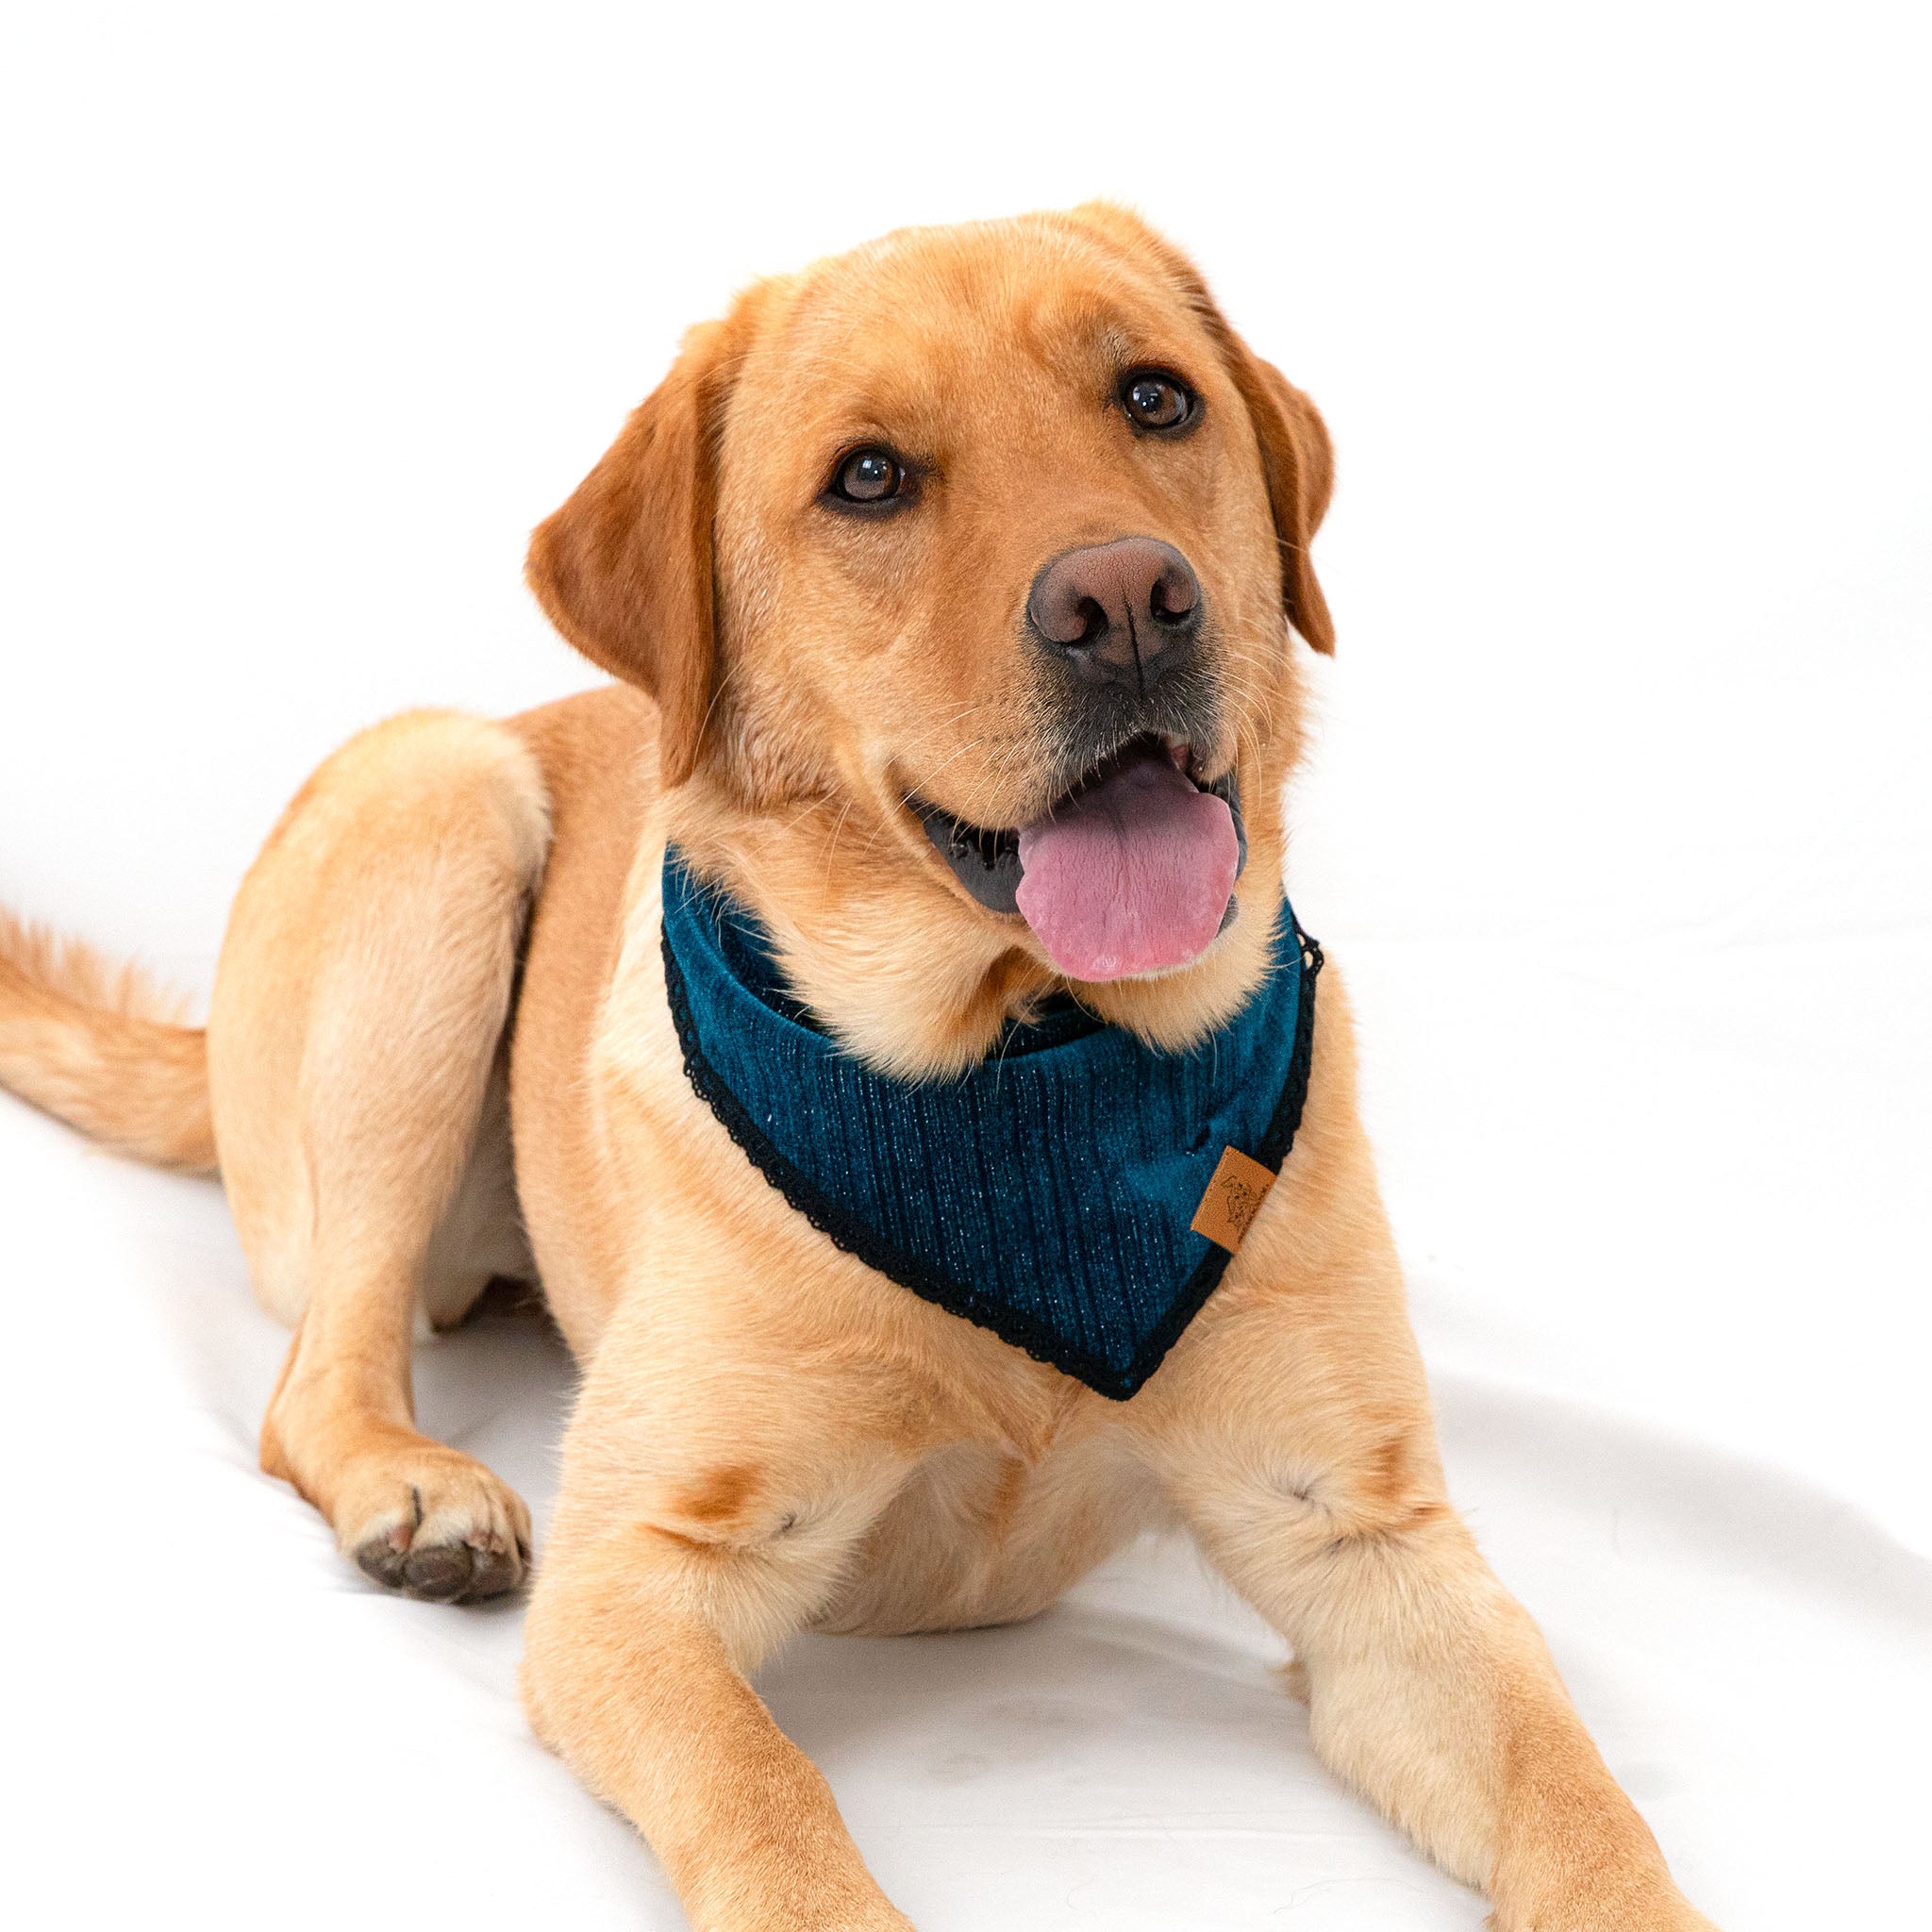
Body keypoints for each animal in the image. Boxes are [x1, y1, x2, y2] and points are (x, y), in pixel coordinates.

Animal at [0, 208, 1723, 1932]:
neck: (1027, 1065)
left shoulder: (1364, 1536)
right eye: (871, 478)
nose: (1128, 601)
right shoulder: (642, 1573)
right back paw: (410, 1487)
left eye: (1155, 398)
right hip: (441, 806)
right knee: (316, 1372)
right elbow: (770, 1805)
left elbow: (1577, 1795)